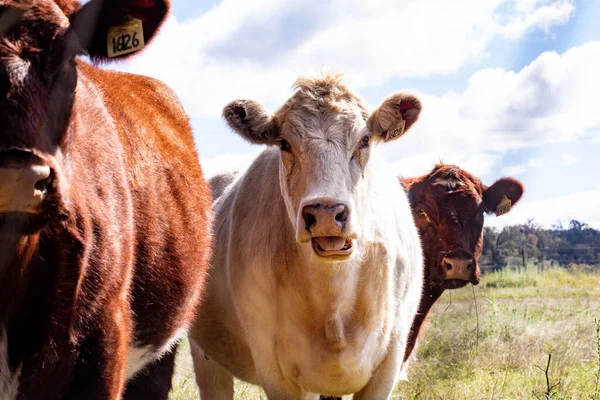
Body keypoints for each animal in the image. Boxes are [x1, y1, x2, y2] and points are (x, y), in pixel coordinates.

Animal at [190, 73, 424, 398]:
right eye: (284, 143)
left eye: (365, 140)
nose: (326, 212)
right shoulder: (274, 370)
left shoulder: (388, 363)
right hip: (206, 357)